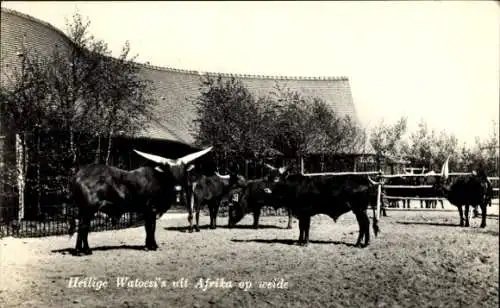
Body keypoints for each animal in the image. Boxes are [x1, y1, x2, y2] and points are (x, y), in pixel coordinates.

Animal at [69, 147, 213, 255]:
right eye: (169, 171)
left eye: (182, 171)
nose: (178, 188)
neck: (159, 180)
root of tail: (78, 175)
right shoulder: (151, 209)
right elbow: (151, 228)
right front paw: (152, 246)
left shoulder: (148, 211)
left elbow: (148, 228)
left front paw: (148, 245)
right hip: (88, 209)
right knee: (83, 227)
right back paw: (84, 250)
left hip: (84, 210)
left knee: (81, 227)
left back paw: (80, 250)